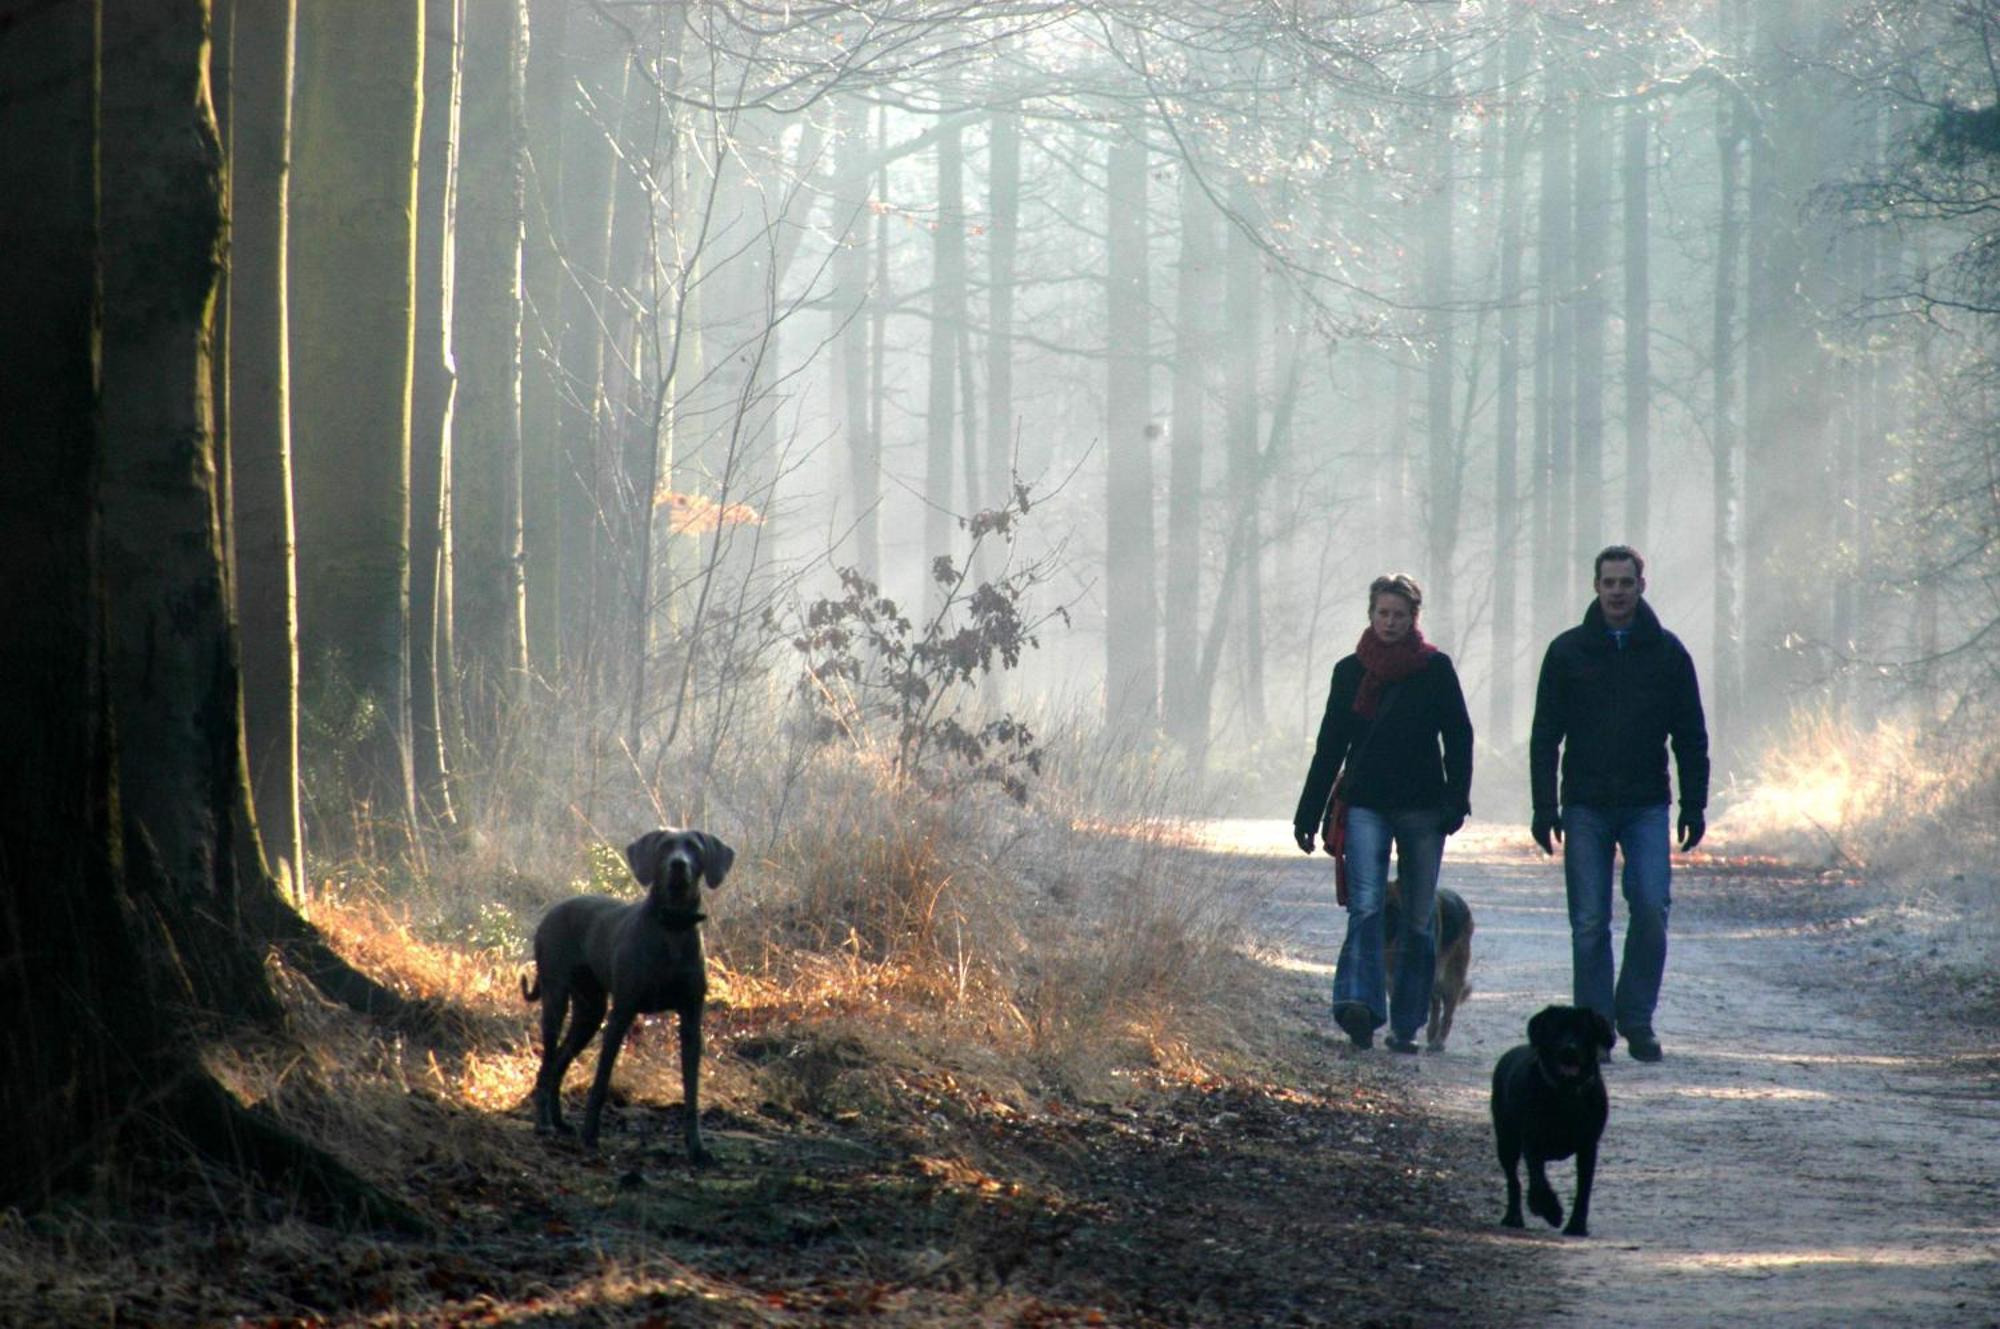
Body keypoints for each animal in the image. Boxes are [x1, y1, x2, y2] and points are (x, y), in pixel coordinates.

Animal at [516, 832, 736, 1160]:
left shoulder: (691, 1021)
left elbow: (692, 1093)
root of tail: (552, 911)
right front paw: (590, 1134)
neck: (672, 927)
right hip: (556, 1000)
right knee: (547, 1066)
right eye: (665, 847)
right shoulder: (622, 1013)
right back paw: (543, 1123)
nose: (678, 865)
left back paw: (559, 1121)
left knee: (559, 1064)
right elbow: (600, 1081)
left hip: (590, 1012)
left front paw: (696, 1148)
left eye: (694, 848)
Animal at [1384, 876, 1480, 1056]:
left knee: (1447, 1013)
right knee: (1436, 1003)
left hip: (1450, 980)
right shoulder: (1391, 980)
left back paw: (1438, 1041)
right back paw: (1432, 1033)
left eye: (1393, 908)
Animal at [1496, 1008, 1616, 1232]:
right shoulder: (1532, 1140)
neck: (1565, 1095)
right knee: (1513, 1180)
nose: (1569, 1049)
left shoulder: (1588, 1145)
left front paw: (1577, 1225)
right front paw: (1550, 1210)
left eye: (1583, 1030)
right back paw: (1513, 1217)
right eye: (1555, 1029)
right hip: (1506, 1141)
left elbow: (1584, 1187)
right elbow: (1538, 1180)